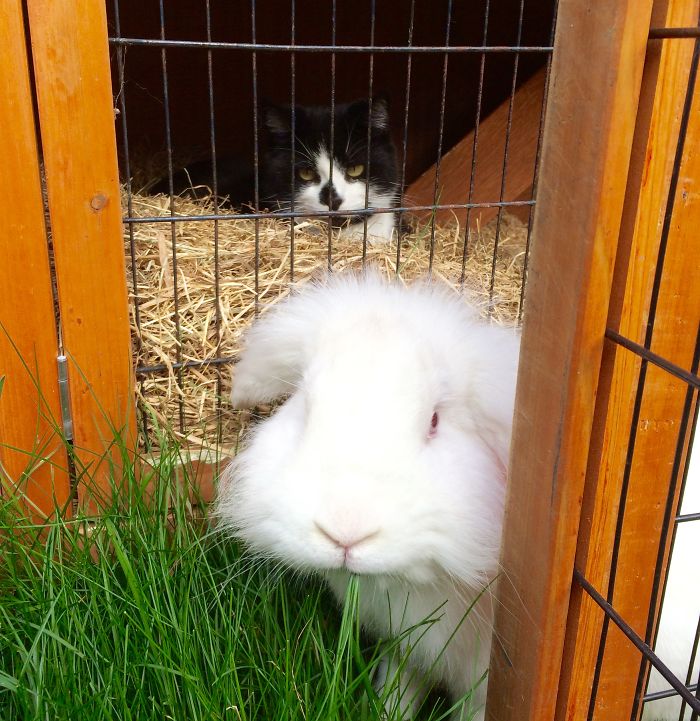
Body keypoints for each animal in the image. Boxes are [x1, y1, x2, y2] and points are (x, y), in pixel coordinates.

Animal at [216, 272, 520, 720]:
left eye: (435, 421)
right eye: (303, 407)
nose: (345, 533)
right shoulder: (407, 651)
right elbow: (398, 689)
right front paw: (383, 710)